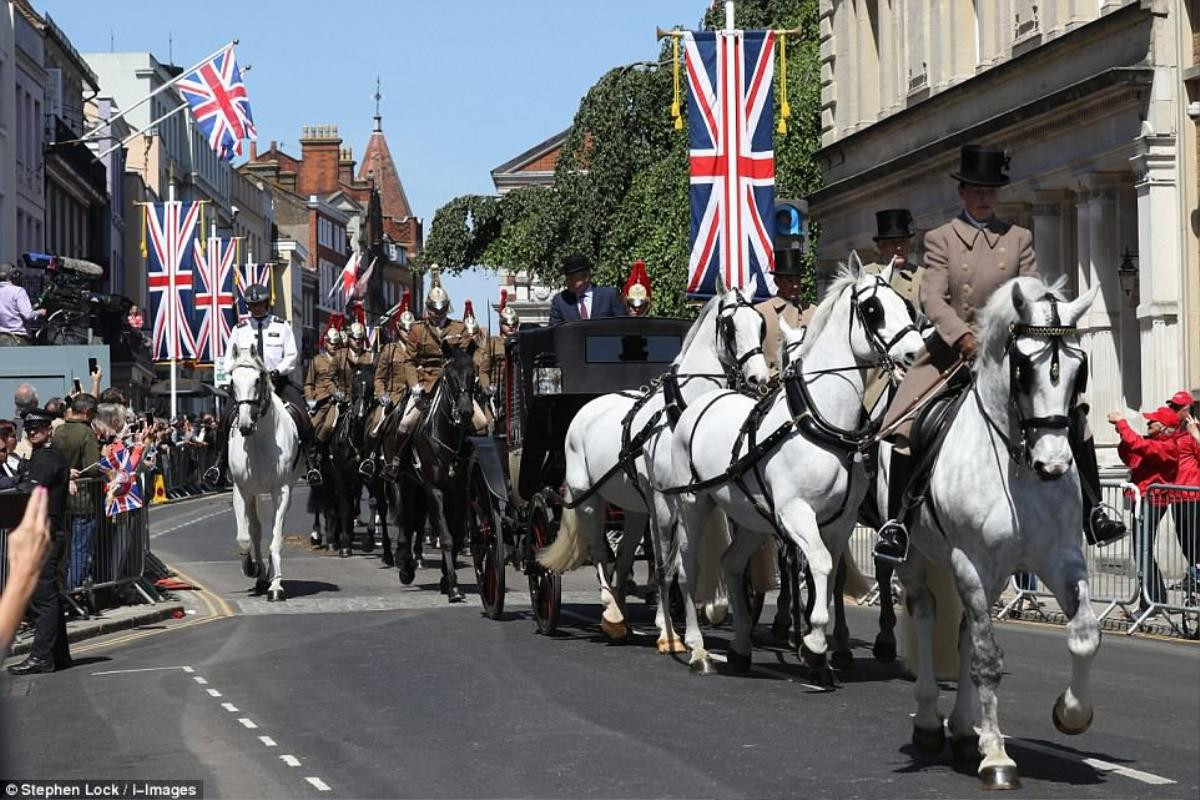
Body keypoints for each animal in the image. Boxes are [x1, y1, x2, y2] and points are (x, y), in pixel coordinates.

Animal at [225, 345, 300, 599]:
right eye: (232, 380)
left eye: (258, 379)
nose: (245, 424)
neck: (258, 439)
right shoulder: (242, 490)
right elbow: (245, 536)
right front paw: (252, 567)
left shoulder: (281, 490)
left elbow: (275, 537)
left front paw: (275, 585)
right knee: (255, 530)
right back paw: (260, 575)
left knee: (277, 528)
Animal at [537, 284, 768, 652]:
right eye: (729, 326)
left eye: (761, 324)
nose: (760, 378)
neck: (682, 415)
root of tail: (587, 408)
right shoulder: (663, 502)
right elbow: (666, 564)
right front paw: (667, 632)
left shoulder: (700, 496)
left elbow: (698, 556)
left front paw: (712, 608)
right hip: (587, 498)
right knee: (600, 551)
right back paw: (611, 609)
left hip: (633, 509)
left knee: (623, 555)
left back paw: (618, 615)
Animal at [667, 257, 916, 681]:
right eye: (874, 309)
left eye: (906, 305)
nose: (917, 354)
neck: (820, 422)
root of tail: (702, 402)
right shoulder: (795, 513)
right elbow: (819, 564)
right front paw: (814, 645)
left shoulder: (840, 521)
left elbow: (828, 576)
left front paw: (821, 649)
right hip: (692, 505)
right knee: (688, 569)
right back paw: (697, 648)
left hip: (751, 516)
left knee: (731, 564)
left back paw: (741, 647)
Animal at [892, 278, 1099, 791]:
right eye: (1022, 369)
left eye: (1079, 369)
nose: (1054, 465)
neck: (1016, 462)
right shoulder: (969, 561)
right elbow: (987, 658)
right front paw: (999, 758)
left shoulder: (1060, 558)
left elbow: (1084, 634)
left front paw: (1072, 712)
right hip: (917, 558)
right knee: (926, 615)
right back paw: (932, 722)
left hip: (993, 576)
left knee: (965, 630)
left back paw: (966, 731)